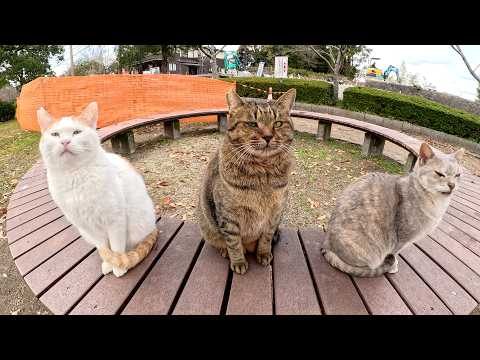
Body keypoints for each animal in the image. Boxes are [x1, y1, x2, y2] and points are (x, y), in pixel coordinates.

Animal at [38, 102, 158, 278]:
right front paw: (109, 263)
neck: (75, 175)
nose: (65, 141)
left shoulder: (115, 220)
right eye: (55, 134)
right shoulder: (89, 227)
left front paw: (119, 265)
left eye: (76, 132)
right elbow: (104, 247)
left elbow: (116, 246)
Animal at [198, 88, 296, 274]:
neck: (263, 173)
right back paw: (224, 251)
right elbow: (234, 242)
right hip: (207, 226)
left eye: (278, 123)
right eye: (252, 124)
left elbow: (266, 237)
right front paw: (238, 261)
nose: (268, 136)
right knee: (219, 241)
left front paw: (263, 253)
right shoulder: (228, 216)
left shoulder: (274, 213)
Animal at [320, 142, 464, 278]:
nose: (452, 185)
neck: (437, 204)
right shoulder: (400, 239)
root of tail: (327, 245)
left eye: (457, 175)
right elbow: (395, 254)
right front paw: (393, 267)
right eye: (440, 174)